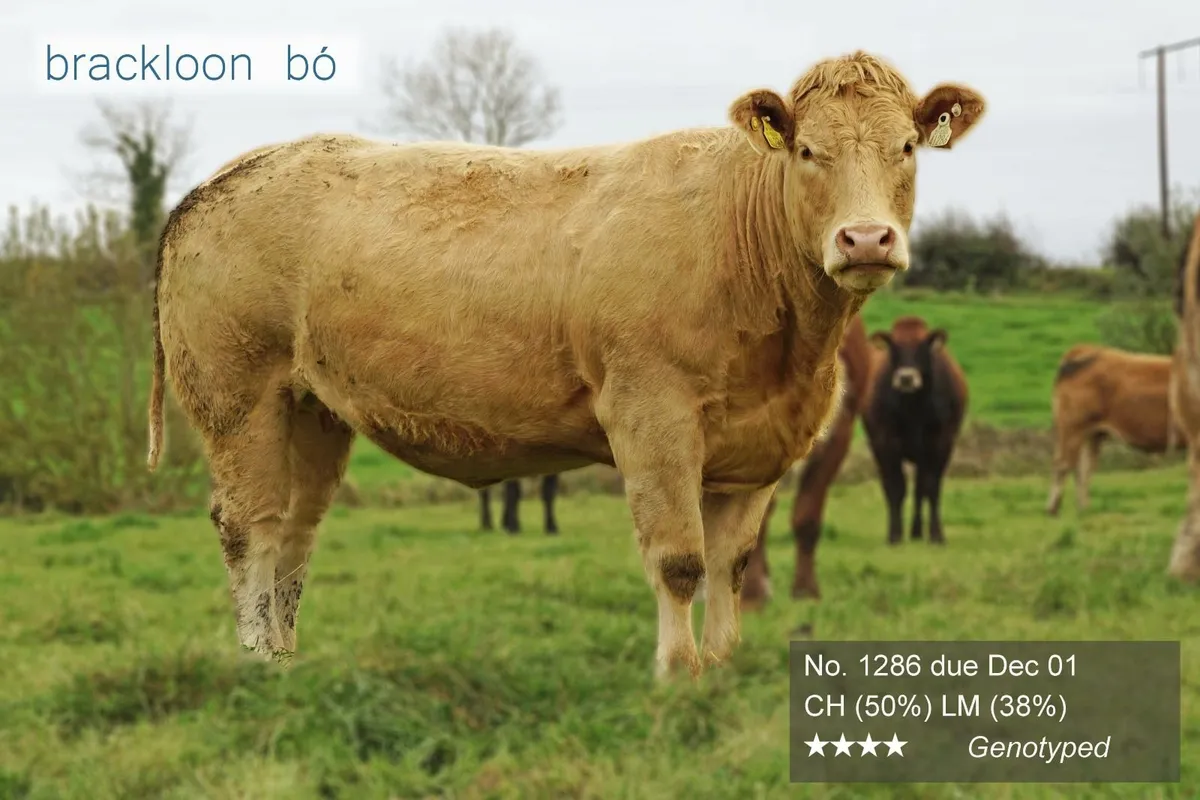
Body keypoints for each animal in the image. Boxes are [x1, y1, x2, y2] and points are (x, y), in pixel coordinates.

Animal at [862, 315, 968, 544]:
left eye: (922, 347)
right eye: (894, 347)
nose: (906, 378)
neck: (914, 407)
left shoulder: (941, 442)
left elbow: (932, 487)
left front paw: (937, 535)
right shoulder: (886, 442)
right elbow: (896, 487)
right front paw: (894, 535)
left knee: (921, 488)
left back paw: (917, 532)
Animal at [1046, 344, 1183, 516]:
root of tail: (1086, 349)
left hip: (1092, 434)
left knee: (1082, 470)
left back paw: (1084, 510)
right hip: (1073, 428)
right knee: (1062, 465)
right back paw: (1053, 509)